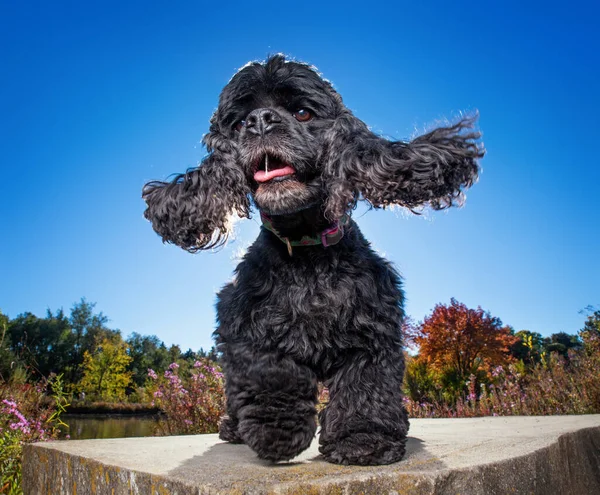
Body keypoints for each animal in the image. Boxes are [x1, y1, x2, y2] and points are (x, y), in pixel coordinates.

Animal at [142, 56, 482, 466]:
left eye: (303, 112)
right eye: (238, 123)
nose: (260, 121)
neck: (306, 252)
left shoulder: (370, 330)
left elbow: (364, 389)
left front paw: (363, 440)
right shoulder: (244, 323)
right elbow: (273, 371)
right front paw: (278, 432)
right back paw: (235, 427)